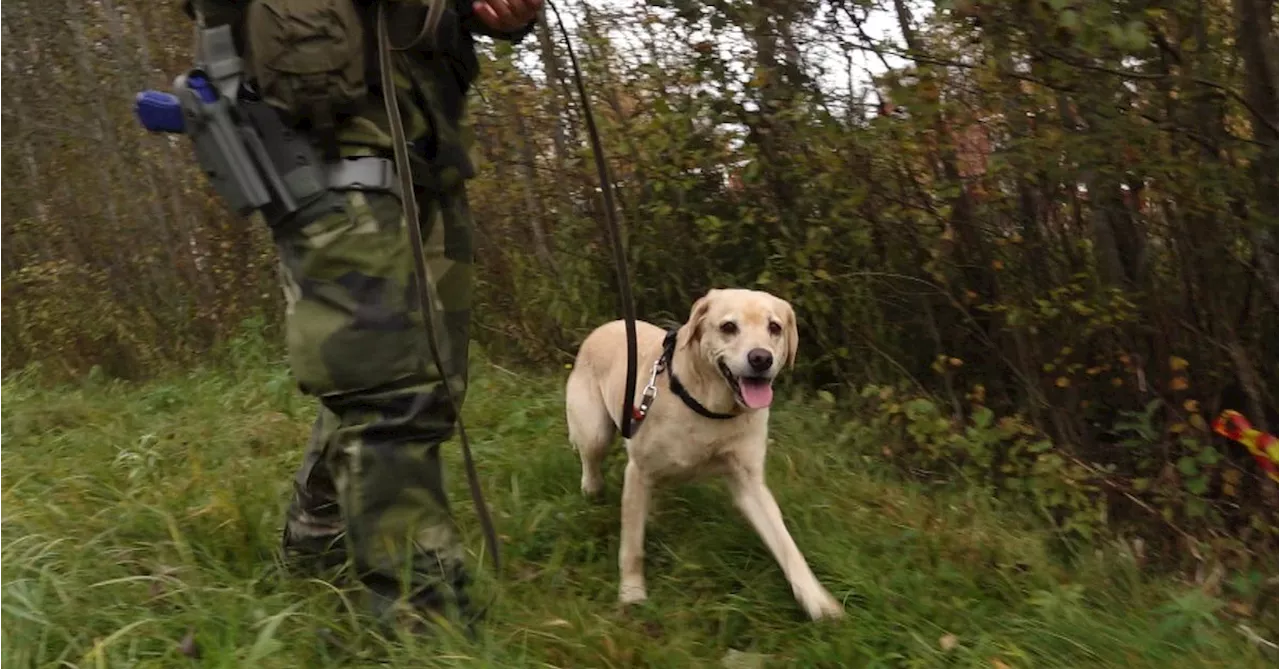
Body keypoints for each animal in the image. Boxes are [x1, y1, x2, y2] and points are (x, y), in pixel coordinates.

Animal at [565, 285, 844, 621]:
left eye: (774, 327)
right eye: (728, 327)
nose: (761, 358)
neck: (710, 408)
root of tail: (609, 325)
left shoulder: (750, 484)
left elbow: (787, 546)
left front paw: (817, 601)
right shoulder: (639, 470)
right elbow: (632, 547)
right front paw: (632, 593)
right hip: (595, 431)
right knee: (591, 460)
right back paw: (592, 489)